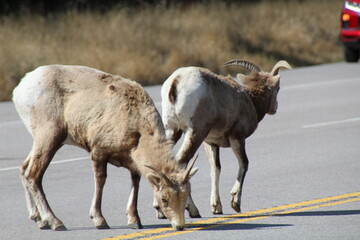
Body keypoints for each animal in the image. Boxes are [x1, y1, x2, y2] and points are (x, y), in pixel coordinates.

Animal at [12, 65, 198, 231]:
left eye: (185, 196)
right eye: (164, 199)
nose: (179, 226)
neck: (138, 128)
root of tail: (20, 88)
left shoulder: (132, 161)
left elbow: (135, 182)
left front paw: (134, 220)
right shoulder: (98, 151)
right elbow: (100, 180)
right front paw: (99, 220)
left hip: (41, 140)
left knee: (23, 169)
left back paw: (40, 221)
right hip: (50, 136)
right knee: (33, 175)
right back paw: (55, 222)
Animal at [162, 59, 292, 215]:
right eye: (278, 88)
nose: (275, 108)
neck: (250, 99)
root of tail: (176, 82)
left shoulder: (211, 143)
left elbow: (216, 168)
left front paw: (216, 207)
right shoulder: (237, 138)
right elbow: (244, 163)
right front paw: (235, 202)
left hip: (172, 131)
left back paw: (160, 210)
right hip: (195, 133)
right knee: (181, 163)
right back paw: (192, 210)